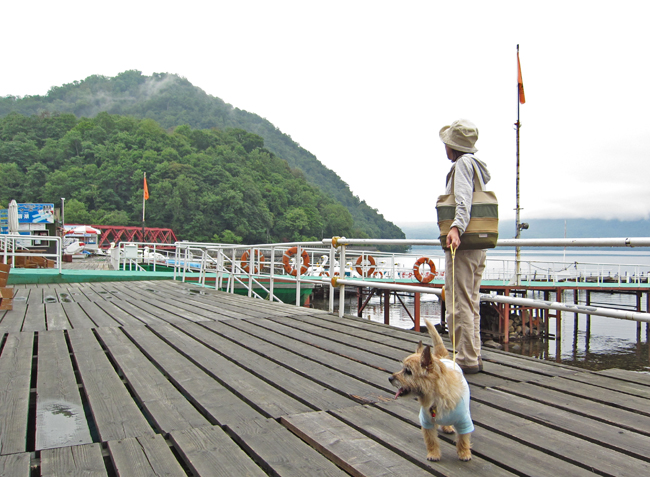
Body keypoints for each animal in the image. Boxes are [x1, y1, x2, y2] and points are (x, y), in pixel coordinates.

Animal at [388, 318, 474, 460]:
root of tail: (441, 357)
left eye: (408, 371)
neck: (435, 397)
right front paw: (433, 454)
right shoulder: (427, 422)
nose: (390, 378)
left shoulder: (464, 422)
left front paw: (464, 453)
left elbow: (463, 438)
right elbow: (431, 439)